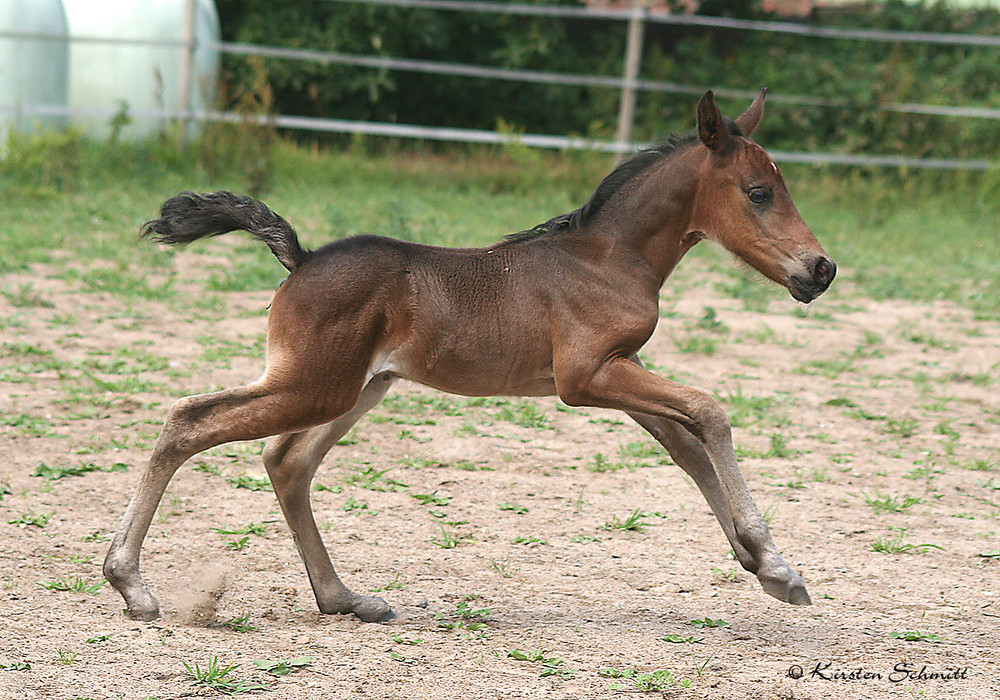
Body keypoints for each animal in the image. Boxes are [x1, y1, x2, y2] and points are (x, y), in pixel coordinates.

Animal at [105, 90, 836, 620]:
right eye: (759, 192)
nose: (821, 269)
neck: (608, 258)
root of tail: (302, 258)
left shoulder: (617, 371)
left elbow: (687, 447)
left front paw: (767, 568)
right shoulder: (587, 377)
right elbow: (710, 415)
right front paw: (773, 560)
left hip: (359, 387)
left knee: (286, 462)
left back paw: (344, 599)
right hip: (316, 385)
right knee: (190, 421)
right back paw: (130, 583)